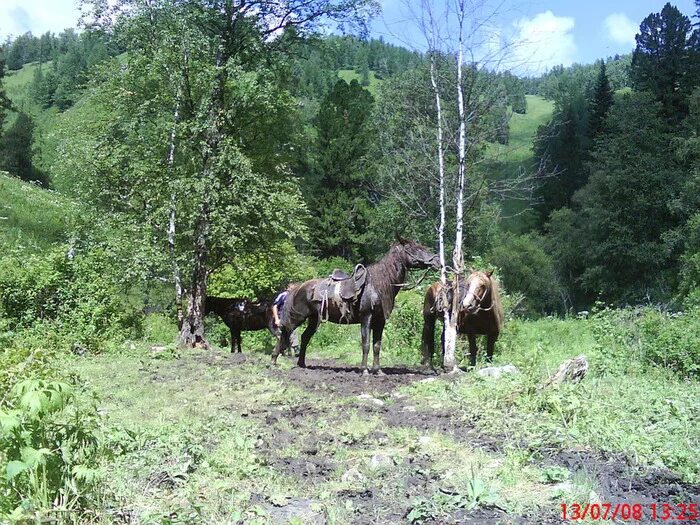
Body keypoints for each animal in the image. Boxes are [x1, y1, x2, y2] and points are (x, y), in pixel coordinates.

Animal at [272, 237, 438, 372]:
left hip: (313, 319)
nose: (437, 261)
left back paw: (302, 364)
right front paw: (364, 370)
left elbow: (377, 345)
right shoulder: (366, 318)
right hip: (297, 317)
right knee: (283, 332)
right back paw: (273, 361)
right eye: (415, 248)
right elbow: (366, 344)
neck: (377, 285)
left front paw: (378, 370)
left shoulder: (380, 321)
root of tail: (297, 288)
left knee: (304, 337)